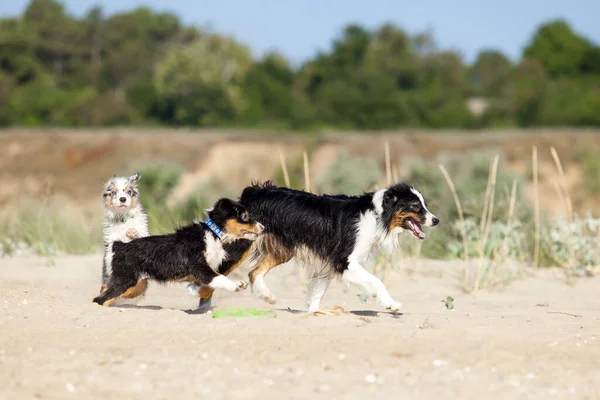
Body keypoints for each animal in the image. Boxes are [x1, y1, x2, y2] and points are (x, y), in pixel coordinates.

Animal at [92, 198, 264, 308]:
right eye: (244, 216)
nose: (263, 227)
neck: (212, 233)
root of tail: (119, 245)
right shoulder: (200, 268)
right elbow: (220, 278)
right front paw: (237, 285)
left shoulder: (201, 273)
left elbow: (206, 287)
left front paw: (193, 291)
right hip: (125, 280)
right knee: (101, 299)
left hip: (136, 286)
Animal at [237, 182, 438, 316]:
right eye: (415, 206)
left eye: (424, 205)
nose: (436, 220)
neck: (378, 215)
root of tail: (253, 191)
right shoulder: (344, 261)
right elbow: (376, 281)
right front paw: (390, 304)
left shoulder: (328, 262)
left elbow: (317, 292)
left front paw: (314, 312)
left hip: (282, 251)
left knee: (254, 272)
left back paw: (267, 296)